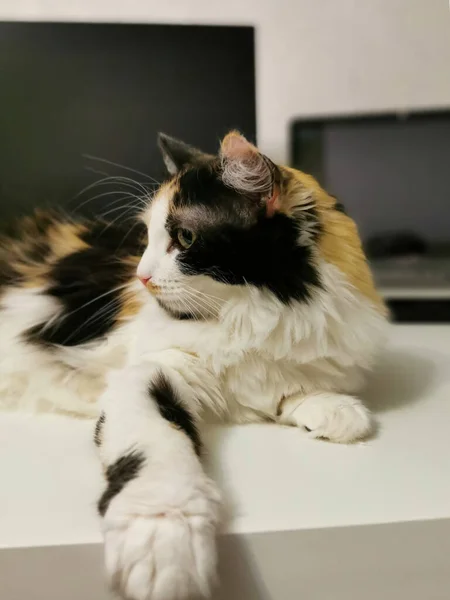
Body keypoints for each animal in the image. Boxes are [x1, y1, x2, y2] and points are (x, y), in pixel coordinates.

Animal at [0, 132, 386, 600]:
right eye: (145, 237)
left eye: (185, 237)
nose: (142, 277)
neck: (250, 316)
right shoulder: (151, 370)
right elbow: (156, 444)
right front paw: (162, 536)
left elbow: (291, 385)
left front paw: (331, 407)